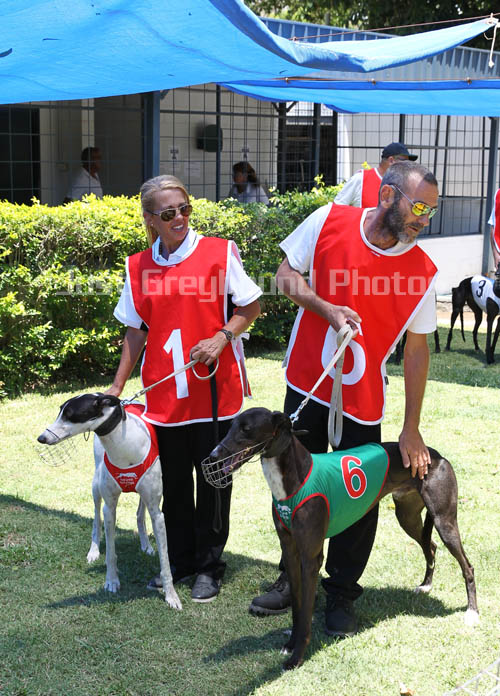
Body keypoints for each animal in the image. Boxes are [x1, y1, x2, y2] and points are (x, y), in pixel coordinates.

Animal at [37, 393, 182, 609]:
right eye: (60, 411)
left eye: (70, 414)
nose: (42, 438)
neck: (124, 446)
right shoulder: (110, 507)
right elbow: (111, 551)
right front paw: (111, 581)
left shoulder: (157, 511)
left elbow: (165, 560)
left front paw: (171, 596)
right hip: (96, 487)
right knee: (97, 520)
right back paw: (94, 551)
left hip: (142, 495)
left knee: (140, 514)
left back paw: (146, 545)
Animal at [207, 407, 478, 670]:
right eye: (230, 426)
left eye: (247, 429)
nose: (214, 455)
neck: (295, 475)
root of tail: (435, 454)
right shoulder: (290, 549)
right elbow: (296, 605)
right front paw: (290, 644)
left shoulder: (311, 557)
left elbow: (305, 613)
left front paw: (296, 658)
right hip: (407, 515)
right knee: (430, 545)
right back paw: (426, 585)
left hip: (444, 521)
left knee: (467, 565)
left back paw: (472, 613)